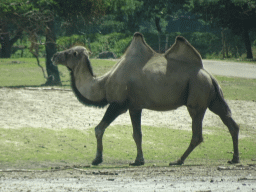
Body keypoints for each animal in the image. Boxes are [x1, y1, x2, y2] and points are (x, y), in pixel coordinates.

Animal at [52, 32, 240, 166]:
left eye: (69, 52)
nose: (54, 56)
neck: (103, 84)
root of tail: (208, 75)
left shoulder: (118, 104)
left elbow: (99, 129)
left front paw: (97, 159)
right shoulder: (135, 106)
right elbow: (138, 134)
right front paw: (138, 160)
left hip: (197, 96)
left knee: (197, 134)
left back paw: (178, 160)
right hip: (214, 97)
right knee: (231, 123)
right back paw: (234, 159)